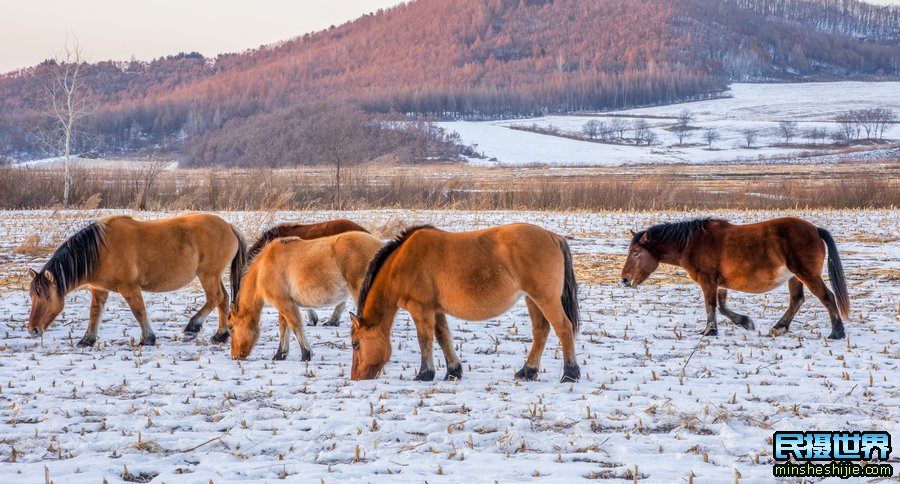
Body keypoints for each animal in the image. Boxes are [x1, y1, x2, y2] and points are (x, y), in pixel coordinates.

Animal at [28, 214, 246, 346]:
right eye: (32, 296)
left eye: (46, 297)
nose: (33, 330)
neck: (100, 251)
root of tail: (229, 226)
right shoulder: (99, 289)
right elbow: (95, 313)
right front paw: (87, 340)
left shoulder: (129, 287)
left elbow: (139, 311)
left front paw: (148, 338)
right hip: (213, 276)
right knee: (223, 299)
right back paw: (220, 335)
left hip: (207, 275)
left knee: (215, 298)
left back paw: (193, 327)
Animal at [229, 233, 384, 362]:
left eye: (231, 327)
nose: (235, 355)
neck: (262, 268)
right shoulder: (284, 304)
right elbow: (284, 328)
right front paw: (280, 354)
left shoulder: (285, 303)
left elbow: (295, 325)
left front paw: (305, 354)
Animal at [348, 225, 580, 384]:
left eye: (355, 344)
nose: (356, 377)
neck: (401, 262)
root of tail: (553, 236)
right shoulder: (436, 310)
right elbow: (442, 337)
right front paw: (453, 371)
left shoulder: (420, 308)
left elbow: (425, 339)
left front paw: (425, 374)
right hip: (532, 299)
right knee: (541, 331)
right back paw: (527, 371)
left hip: (546, 299)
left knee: (563, 329)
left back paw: (570, 374)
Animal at [620, 217, 852, 338]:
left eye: (636, 253)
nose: (624, 280)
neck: (693, 243)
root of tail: (815, 230)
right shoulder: (719, 283)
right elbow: (722, 307)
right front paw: (745, 322)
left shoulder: (708, 281)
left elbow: (711, 306)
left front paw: (709, 331)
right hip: (794, 277)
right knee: (796, 300)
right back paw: (779, 327)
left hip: (806, 274)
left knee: (827, 297)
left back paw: (837, 332)